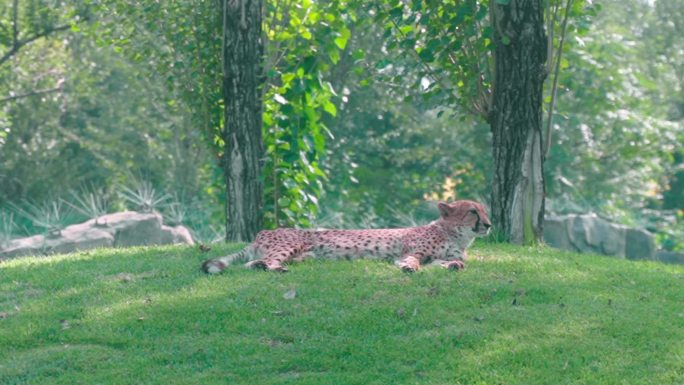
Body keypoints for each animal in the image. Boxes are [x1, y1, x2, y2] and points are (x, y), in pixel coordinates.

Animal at [202, 198, 492, 272]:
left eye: (484, 210)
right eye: (473, 212)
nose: (489, 224)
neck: (454, 234)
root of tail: (262, 233)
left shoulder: (443, 256)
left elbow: (451, 262)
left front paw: (452, 265)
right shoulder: (412, 251)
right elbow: (412, 260)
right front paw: (409, 268)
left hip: (303, 255)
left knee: (255, 262)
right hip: (288, 247)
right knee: (258, 263)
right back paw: (276, 270)